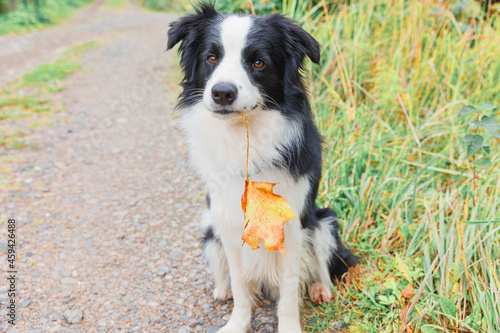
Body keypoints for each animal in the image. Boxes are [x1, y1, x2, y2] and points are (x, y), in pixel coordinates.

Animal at [170, 3, 358, 332]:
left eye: (258, 62)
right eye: (211, 58)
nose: (222, 93)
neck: (245, 139)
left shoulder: (291, 227)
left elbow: (289, 292)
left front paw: (289, 326)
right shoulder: (228, 223)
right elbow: (241, 284)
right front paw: (237, 322)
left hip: (325, 222)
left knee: (321, 266)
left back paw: (320, 289)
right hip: (210, 233)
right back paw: (222, 290)